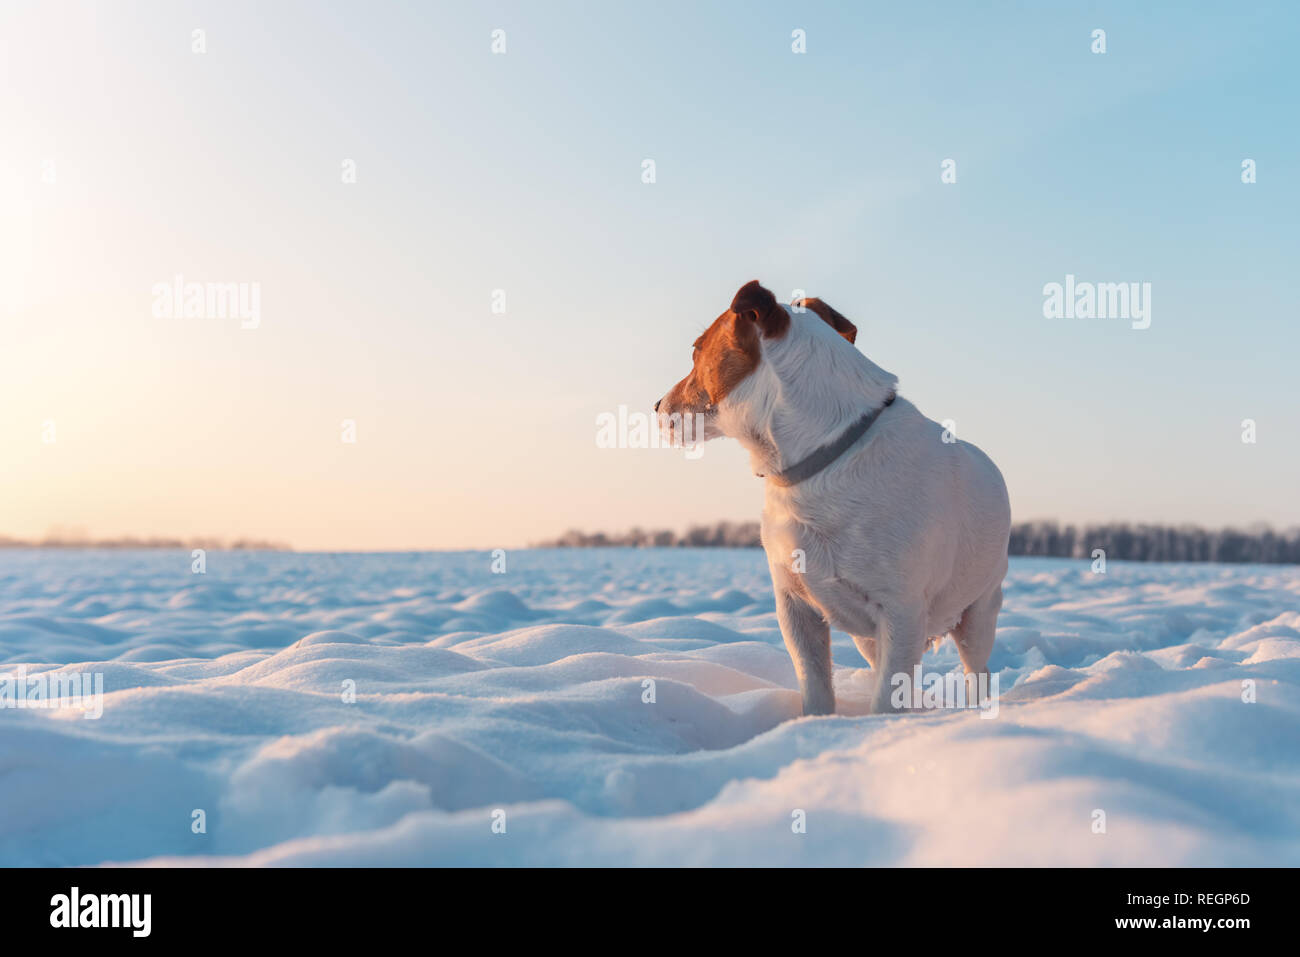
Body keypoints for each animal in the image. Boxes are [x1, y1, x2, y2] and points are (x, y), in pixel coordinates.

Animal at [655, 280, 1008, 712]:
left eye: (695, 349)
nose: (656, 406)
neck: (824, 456)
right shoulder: (795, 604)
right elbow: (816, 684)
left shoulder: (902, 612)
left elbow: (888, 696)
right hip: (866, 635)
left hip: (977, 613)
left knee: (978, 670)